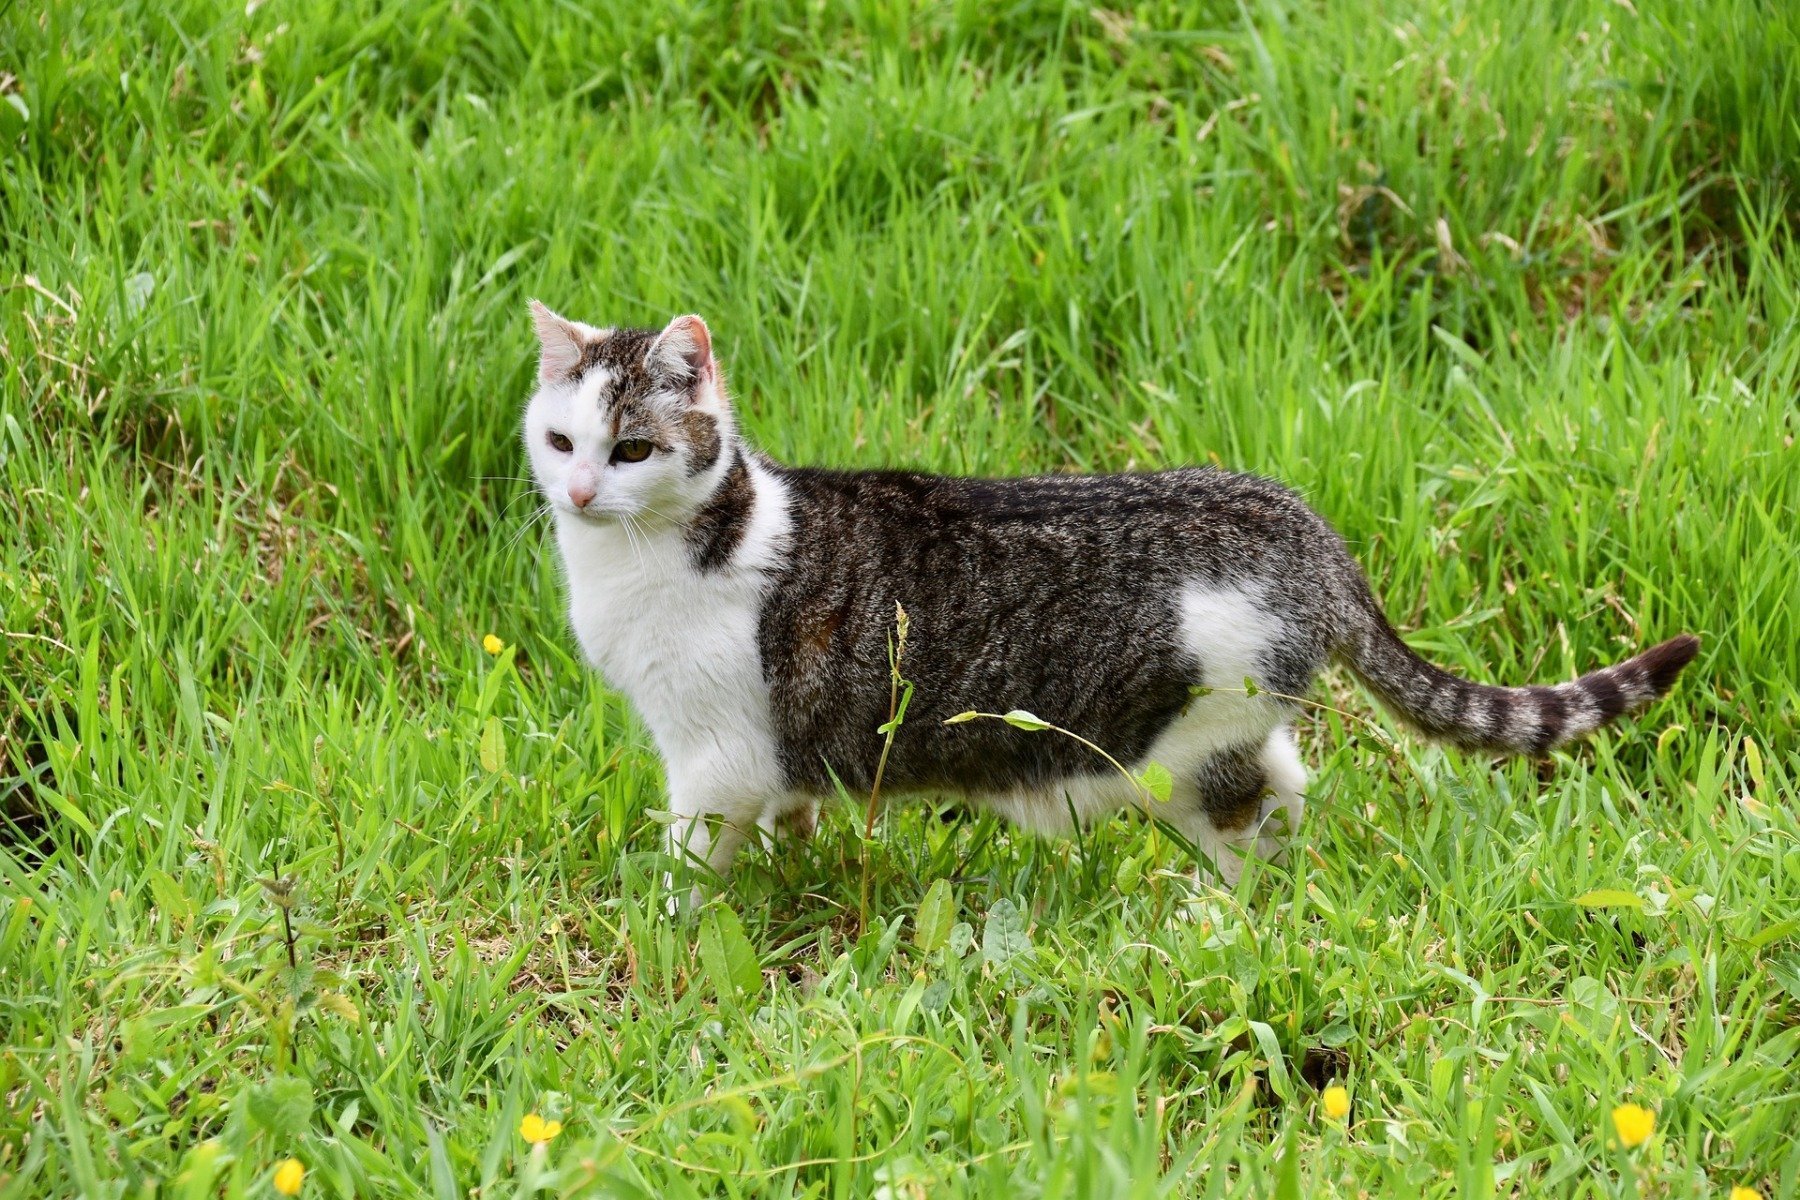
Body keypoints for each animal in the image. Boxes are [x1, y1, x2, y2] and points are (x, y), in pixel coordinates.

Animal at [522, 302, 1699, 892]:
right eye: (560, 441)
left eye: (633, 450)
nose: (578, 492)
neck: (641, 560)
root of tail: (1297, 520)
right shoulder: (766, 764)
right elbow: (786, 825)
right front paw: (785, 882)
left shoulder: (711, 756)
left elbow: (691, 865)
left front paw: (681, 924)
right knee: (1293, 787)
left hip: (1189, 746)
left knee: (1251, 814)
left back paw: (1222, 921)